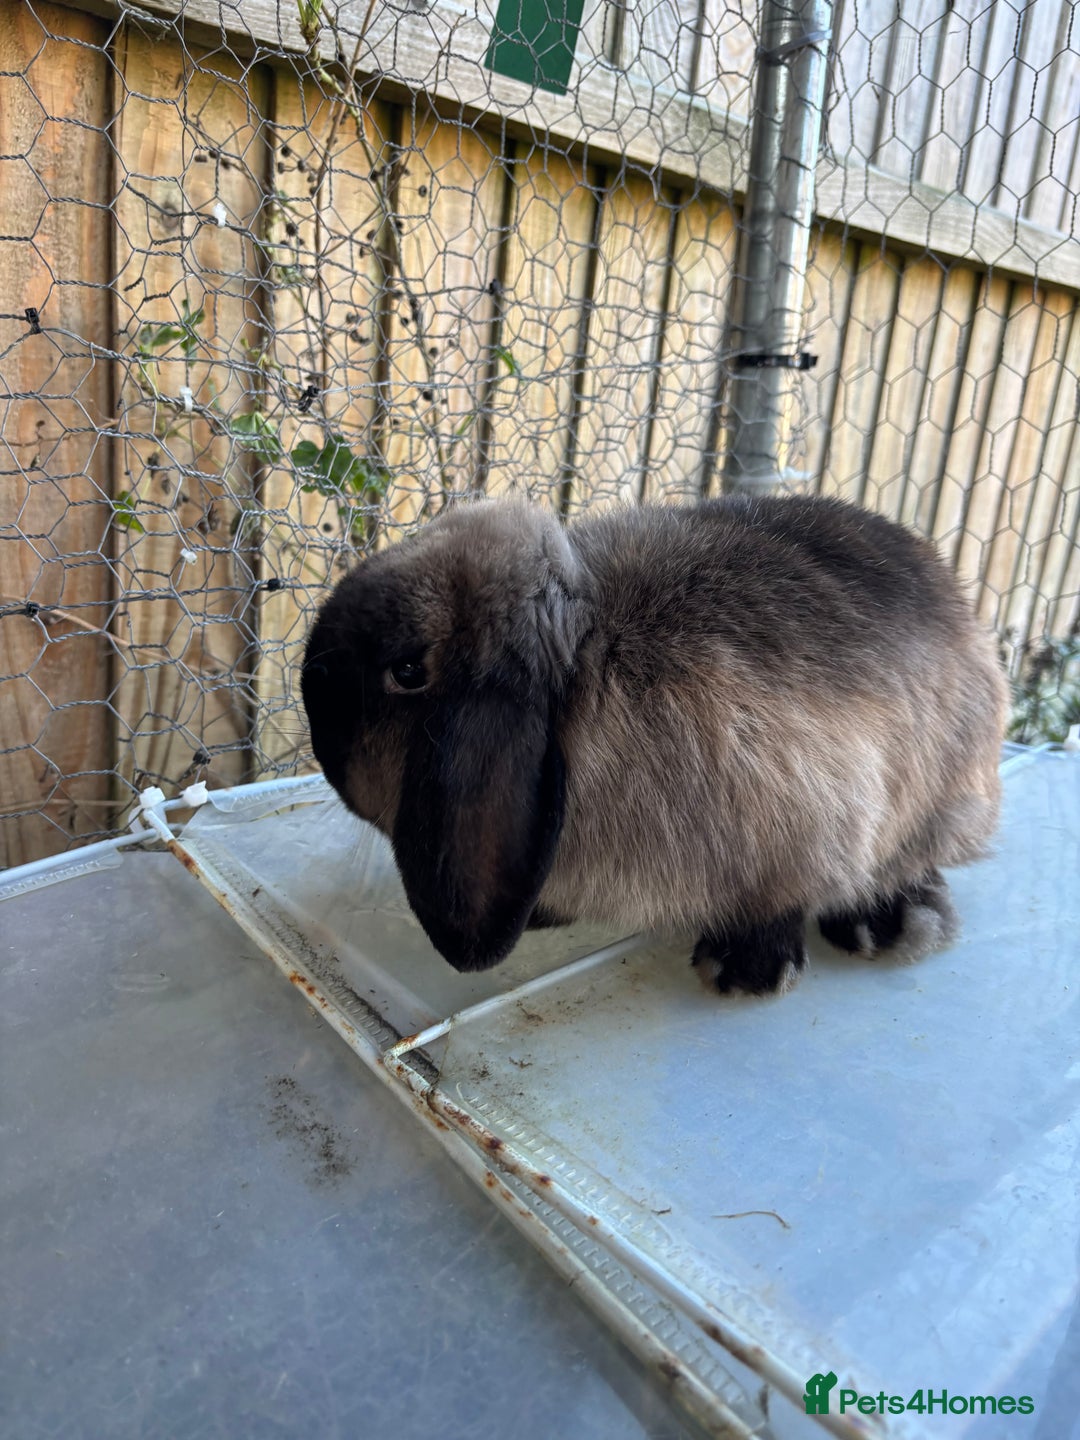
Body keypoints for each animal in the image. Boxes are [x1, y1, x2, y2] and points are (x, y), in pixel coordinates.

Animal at [301, 493, 1008, 995]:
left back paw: (887, 923)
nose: (322, 749)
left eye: (407, 671)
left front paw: (747, 971)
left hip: (944, 800)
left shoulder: (812, 815)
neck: (585, 664)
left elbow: (789, 894)